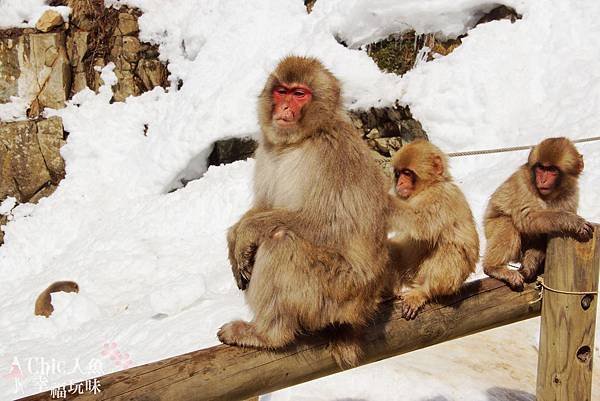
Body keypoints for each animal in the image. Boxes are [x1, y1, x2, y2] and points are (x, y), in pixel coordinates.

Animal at [219, 55, 390, 366]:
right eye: (282, 91)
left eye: (300, 94)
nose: (285, 108)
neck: (300, 140)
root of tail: (363, 309)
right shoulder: (268, 151)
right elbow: (263, 205)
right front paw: (235, 238)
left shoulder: (330, 155)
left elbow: (327, 223)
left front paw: (247, 231)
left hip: (337, 292)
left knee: (281, 242)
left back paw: (269, 334)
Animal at [386, 140, 480, 318]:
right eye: (398, 174)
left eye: (407, 173)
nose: (400, 182)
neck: (429, 187)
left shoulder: (441, 196)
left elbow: (420, 223)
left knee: (451, 249)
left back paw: (422, 292)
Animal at [482, 137, 596, 288]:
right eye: (541, 168)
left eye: (552, 170)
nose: (542, 180)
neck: (552, 195)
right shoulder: (523, 184)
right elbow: (526, 218)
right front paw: (572, 220)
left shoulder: (571, 194)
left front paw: (530, 264)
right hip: (490, 228)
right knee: (507, 222)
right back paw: (493, 267)